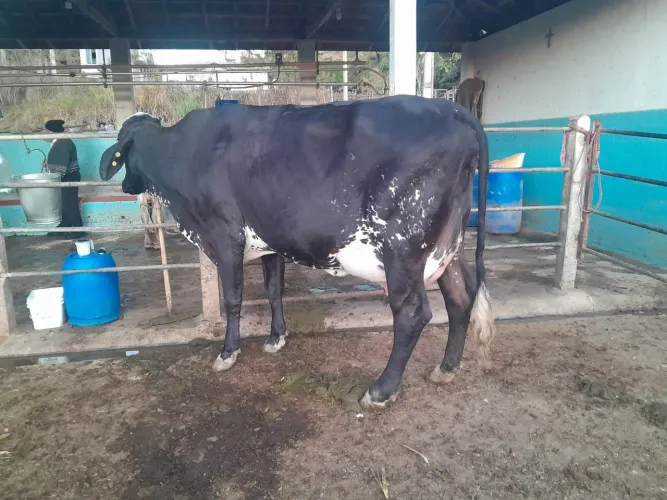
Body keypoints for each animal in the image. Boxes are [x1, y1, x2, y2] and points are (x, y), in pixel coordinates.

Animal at [99, 95, 496, 409]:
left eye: (123, 153)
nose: (125, 185)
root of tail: (449, 107)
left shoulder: (224, 235)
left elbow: (233, 299)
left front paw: (228, 352)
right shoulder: (270, 238)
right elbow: (274, 289)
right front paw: (276, 338)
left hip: (402, 247)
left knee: (413, 314)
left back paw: (381, 390)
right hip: (447, 244)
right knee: (460, 295)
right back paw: (446, 368)